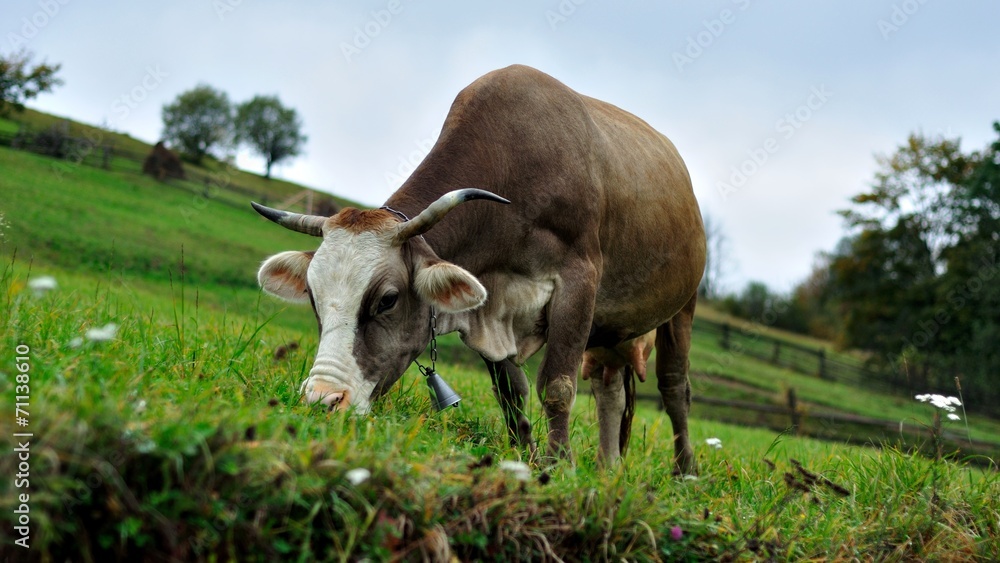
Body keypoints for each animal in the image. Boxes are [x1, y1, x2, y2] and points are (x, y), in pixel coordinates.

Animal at [252, 65, 706, 473]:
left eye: (387, 300)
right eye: (314, 298)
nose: (323, 400)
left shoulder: (579, 281)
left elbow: (557, 386)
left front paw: (560, 468)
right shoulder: (489, 304)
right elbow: (510, 391)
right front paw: (526, 459)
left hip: (682, 305)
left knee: (674, 388)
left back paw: (684, 472)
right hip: (610, 331)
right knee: (609, 387)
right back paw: (609, 468)